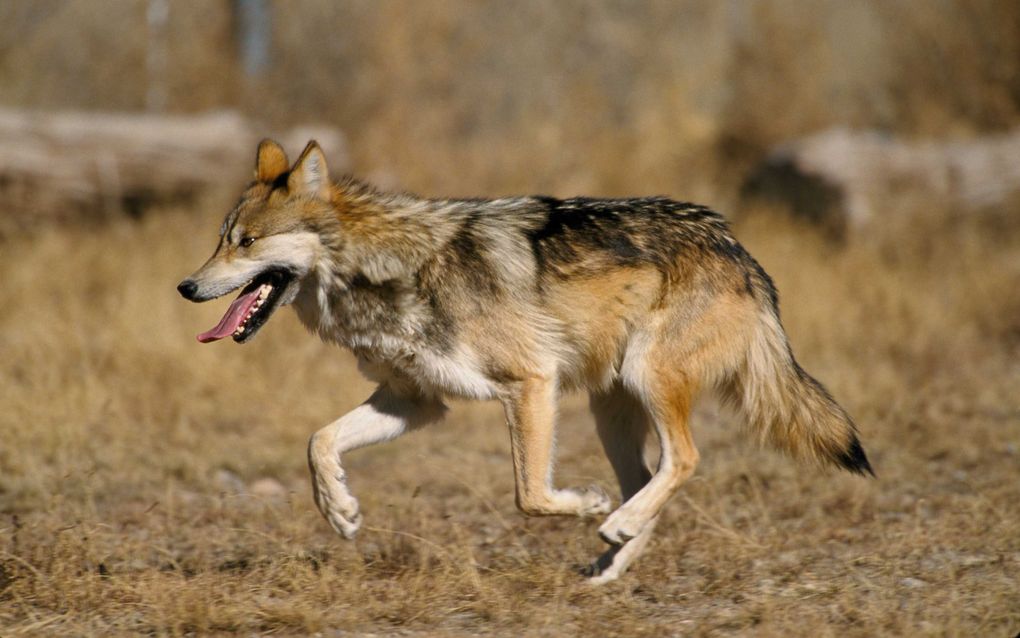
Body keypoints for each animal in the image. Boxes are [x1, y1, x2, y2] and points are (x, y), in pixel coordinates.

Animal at [177, 140, 877, 583]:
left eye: (247, 242)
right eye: (219, 240)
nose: (185, 286)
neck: (387, 269)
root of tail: (739, 250)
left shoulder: (530, 384)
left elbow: (531, 495)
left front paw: (586, 505)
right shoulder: (415, 402)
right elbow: (318, 441)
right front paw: (340, 511)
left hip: (645, 381)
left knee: (684, 460)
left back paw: (613, 523)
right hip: (610, 409)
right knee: (650, 478)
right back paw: (610, 562)